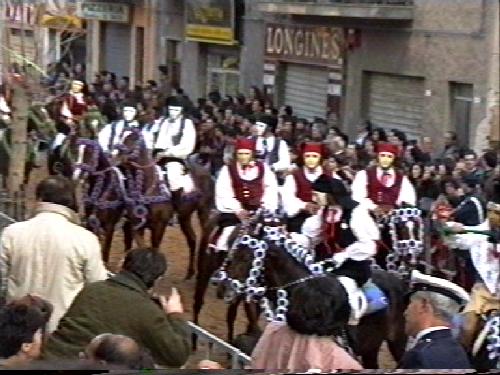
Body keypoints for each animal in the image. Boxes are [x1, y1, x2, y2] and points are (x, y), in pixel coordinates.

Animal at [213, 213, 408, 368]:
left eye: (245, 257)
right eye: (232, 251)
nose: (223, 288)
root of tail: (398, 282)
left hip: (396, 340)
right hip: (371, 347)